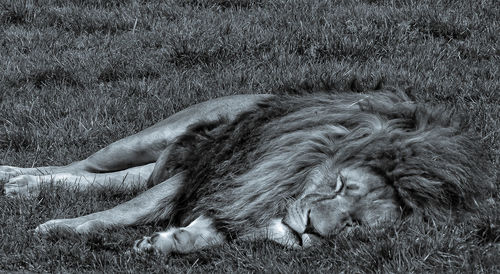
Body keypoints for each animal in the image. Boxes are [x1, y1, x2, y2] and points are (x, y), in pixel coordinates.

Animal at [0, 90, 492, 255]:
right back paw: (17, 180)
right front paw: (58, 229)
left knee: (102, 180)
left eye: (355, 225)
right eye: (338, 186)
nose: (310, 229)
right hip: (153, 139)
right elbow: (118, 214)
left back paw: (21, 187)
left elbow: (208, 232)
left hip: (157, 164)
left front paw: (168, 243)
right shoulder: (216, 175)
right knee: (80, 165)